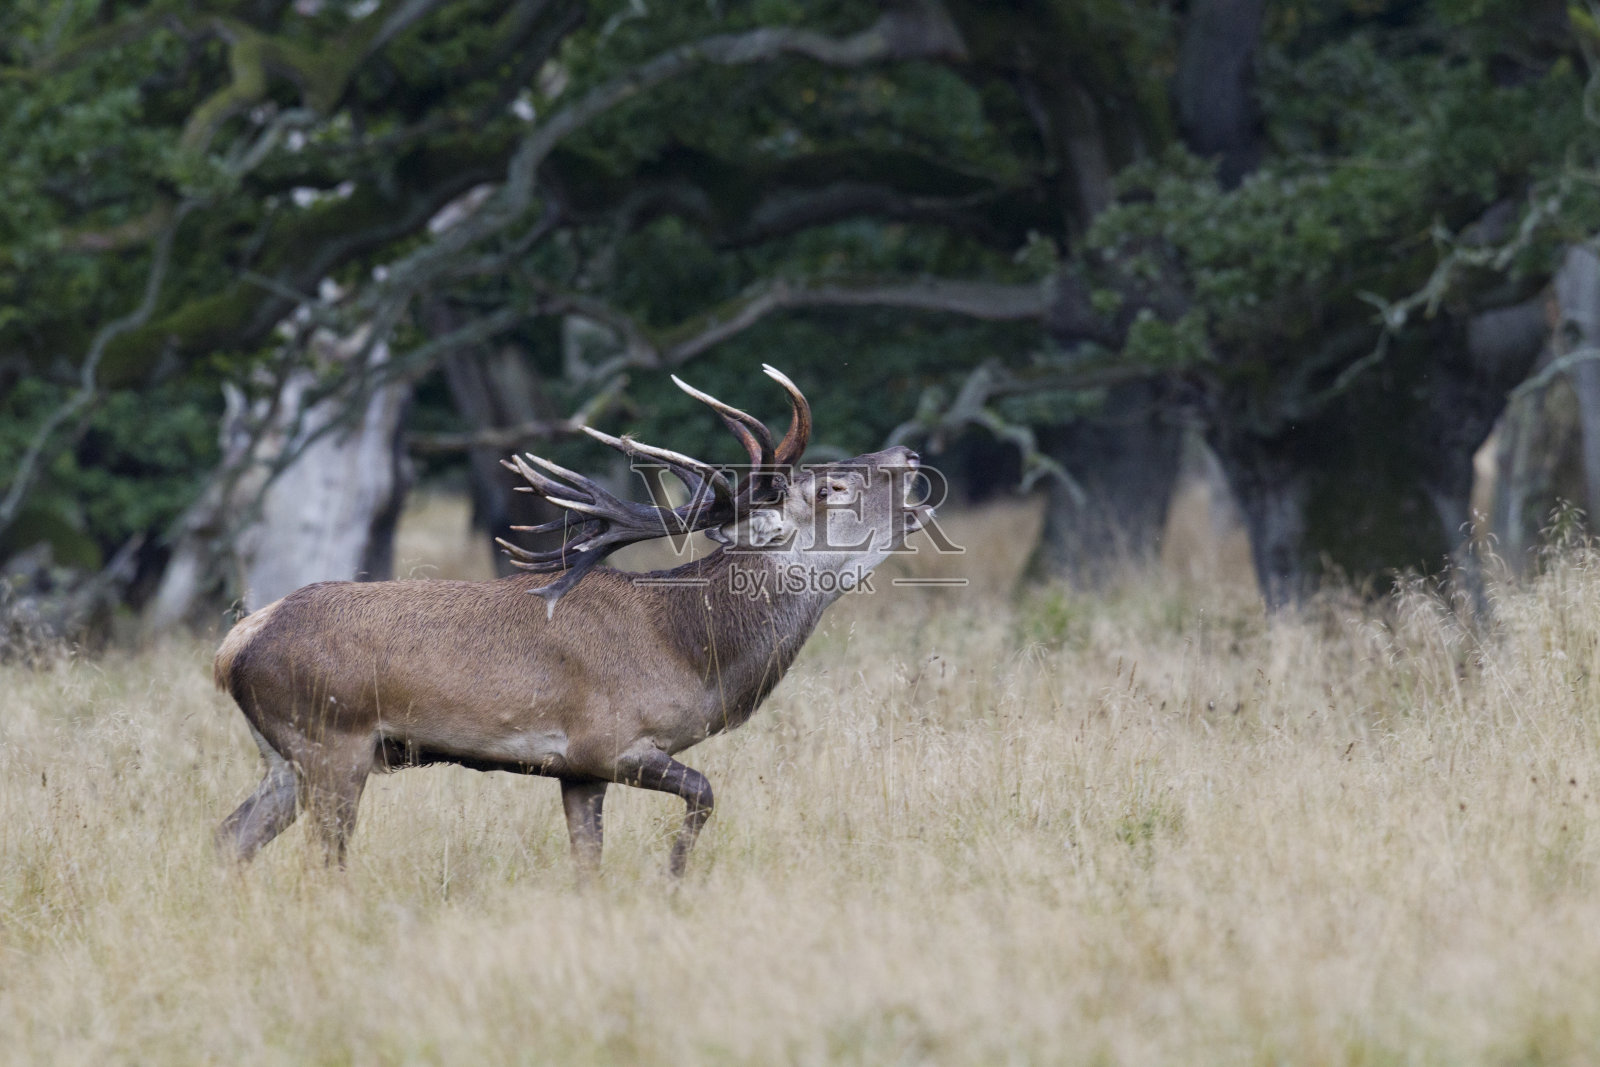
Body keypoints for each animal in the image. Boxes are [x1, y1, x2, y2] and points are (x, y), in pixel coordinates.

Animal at [212, 365, 931, 878]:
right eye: (830, 488)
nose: (909, 455)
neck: (692, 654)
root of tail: (232, 647)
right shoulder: (607, 739)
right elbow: (705, 793)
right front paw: (673, 875)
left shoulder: (577, 772)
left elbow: (589, 863)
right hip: (333, 740)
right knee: (320, 864)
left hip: (284, 756)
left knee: (229, 837)